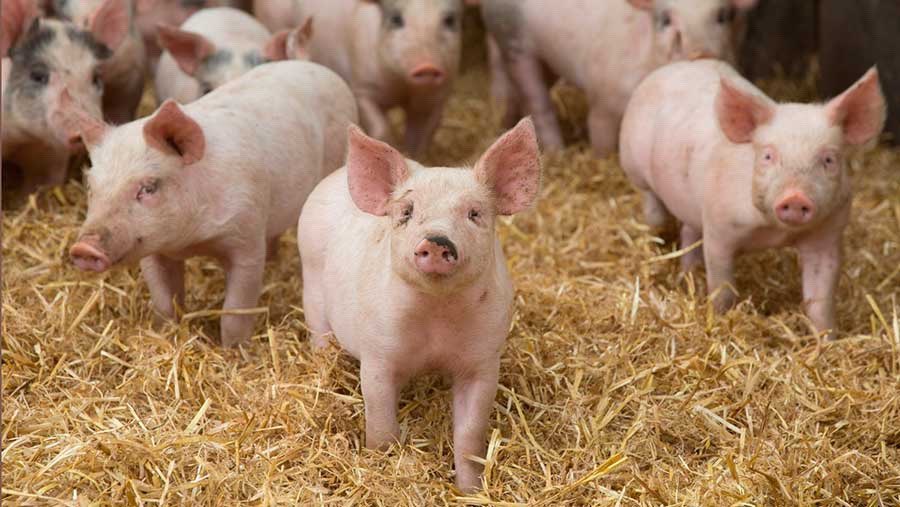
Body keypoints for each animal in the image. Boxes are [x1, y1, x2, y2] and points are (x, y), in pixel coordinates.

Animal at [61, 61, 358, 347]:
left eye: (148, 187)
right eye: (91, 186)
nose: (84, 248)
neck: (191, 240)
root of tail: (324, 71)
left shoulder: (247, 237)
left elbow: (235, 311)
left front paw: (234, 351)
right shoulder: (151, 251)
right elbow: (165, 303)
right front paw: (168, 334)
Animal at [258, 0, 464, 158]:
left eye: (449, 20)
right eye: (396, 19)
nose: (427, 66)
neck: (402, 86)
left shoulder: (437, 96)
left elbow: (422, 136)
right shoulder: (363, 89)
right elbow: (381, 127)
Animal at [297, 118, 541, 491]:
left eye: (474, 213)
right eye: (407, 212)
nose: (438, 240)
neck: (435, 316)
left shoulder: (483, 361)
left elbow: (470, 435)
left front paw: (470, 490)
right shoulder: (378, 356)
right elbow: (381, 424)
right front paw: (383, 464)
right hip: (311, 283)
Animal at [482, 0, 759, 156]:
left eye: (723, 16)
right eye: (665, 19)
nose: (701, 52)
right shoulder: (603, 97)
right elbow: (600, 135)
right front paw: (602, 159)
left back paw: (504, 122)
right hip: (513, 39)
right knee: (537, 100)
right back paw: (556, 153)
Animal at [619, 60, 886, 339]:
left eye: (829, 159)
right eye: (768, 156)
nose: (795, 197)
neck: (774, 233)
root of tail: (672, 67)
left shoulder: (828, 236)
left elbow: (820, 299)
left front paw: (828, 339)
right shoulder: (718, 228)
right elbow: (722, 287)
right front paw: (720, 318)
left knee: (689, 231)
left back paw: (689, 272)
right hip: (634, 168)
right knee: (653, 205)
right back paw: (657, 235)